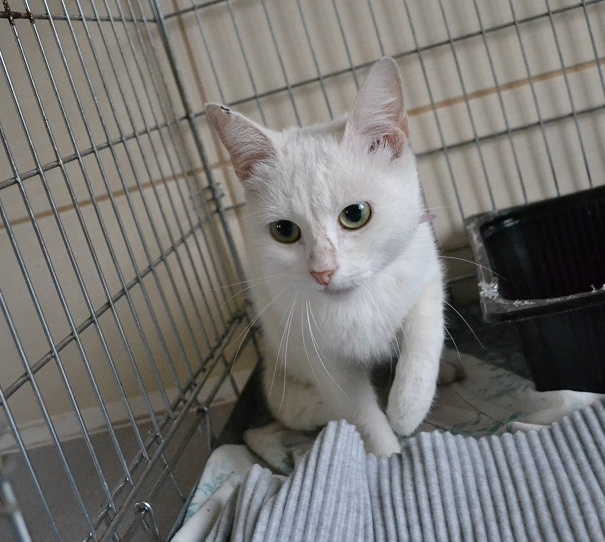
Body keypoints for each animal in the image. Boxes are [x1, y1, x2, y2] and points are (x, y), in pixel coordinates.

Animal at [206, 57, 448, 456]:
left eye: (356, 214)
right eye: (284, 231)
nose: (323, 271)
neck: (356, 303)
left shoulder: (425, 271)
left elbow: (424, 335)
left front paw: (407, 408)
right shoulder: (321, 359)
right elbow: (360, 413)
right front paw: (389, 454)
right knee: (297, 412)